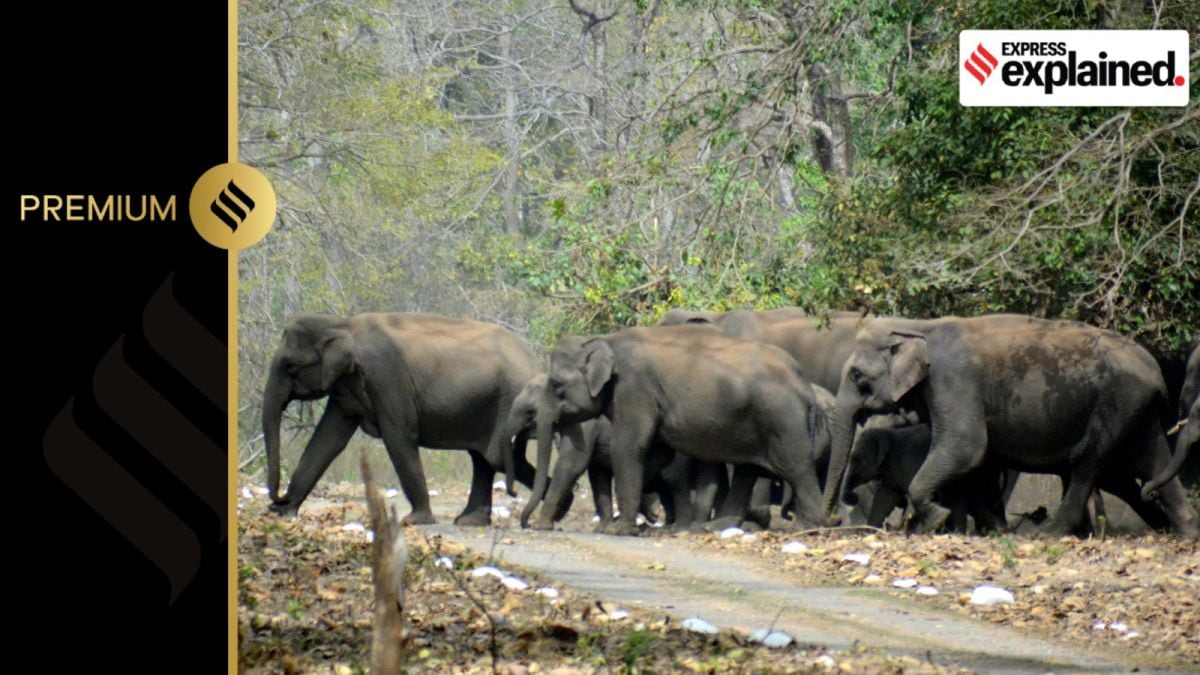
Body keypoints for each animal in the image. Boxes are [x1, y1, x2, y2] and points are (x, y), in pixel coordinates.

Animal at [262, 313, 541, 525]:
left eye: (290, 365)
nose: (279, 499)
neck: (344, 324)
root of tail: (533, 359)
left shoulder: (386, 376)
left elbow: (398, 436)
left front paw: (415, 521)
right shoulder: (345, 388)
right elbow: (328, 440)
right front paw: (283, 513)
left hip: (507, 401)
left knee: (497, 458)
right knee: (484, 458)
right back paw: (470, 521)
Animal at [524, 324, 831, 535]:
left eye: (556, 385)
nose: (526, 524)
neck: (605, 339)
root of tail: (805, 385)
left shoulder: (634, 388)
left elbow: (628, 447)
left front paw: (619, 530)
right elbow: (657, 454)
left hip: (782, 420)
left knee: (796, 467)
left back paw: (815, 524)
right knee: (749, 470)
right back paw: (716, 526)